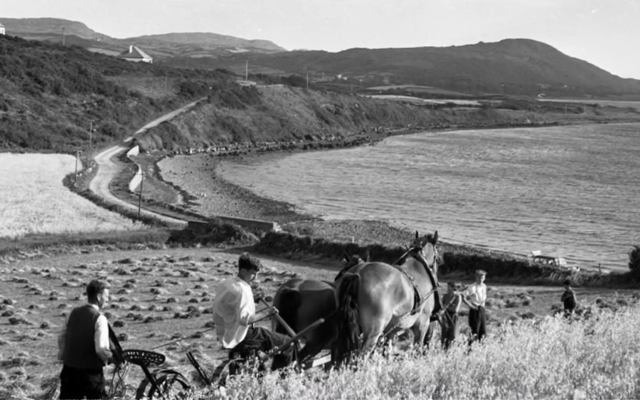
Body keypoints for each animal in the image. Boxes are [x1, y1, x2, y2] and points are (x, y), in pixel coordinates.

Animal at [330, 231, 440, 366]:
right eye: (437, 256)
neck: (418, 267)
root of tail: (357, 273)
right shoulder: (422, 325)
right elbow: (417, 348)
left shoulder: (391, 331)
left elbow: (387, 351)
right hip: (373, 332)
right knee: (361, 356)